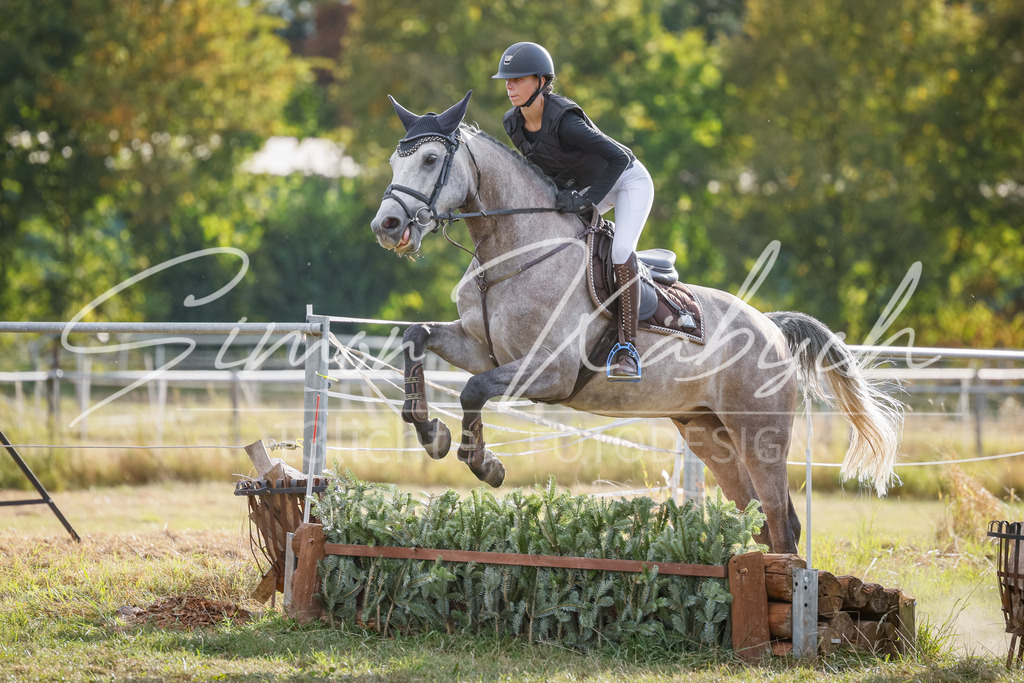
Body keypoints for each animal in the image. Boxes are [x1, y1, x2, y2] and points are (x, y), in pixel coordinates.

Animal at [369, 91, 903, 554]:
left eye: (430, 160)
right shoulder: (484, 350)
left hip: (760, 435)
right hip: (708, 434)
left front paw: (485, 464)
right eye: (396, 162)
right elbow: (417, 337)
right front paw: (429, 431)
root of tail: (771, 327)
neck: (512, 253)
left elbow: (473, 390)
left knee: (779, 519)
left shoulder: (550, 370)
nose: (386, 227)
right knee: (761, 519)